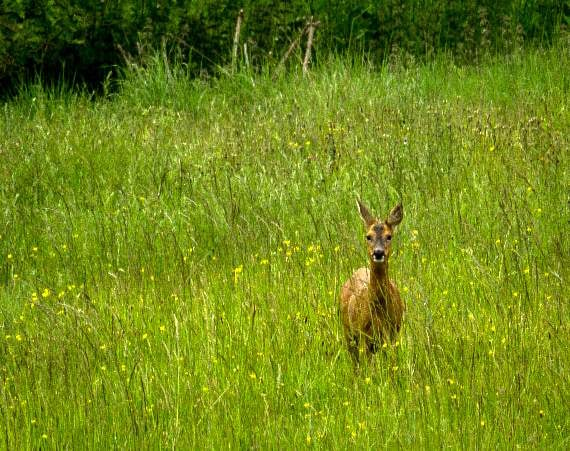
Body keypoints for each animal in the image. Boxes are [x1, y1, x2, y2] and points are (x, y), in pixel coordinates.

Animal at [340, 200, 402, 366]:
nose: (378, 252)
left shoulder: (393, 333)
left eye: (389, 236)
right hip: (349, 333)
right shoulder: (363, 334)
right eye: (368, 236)